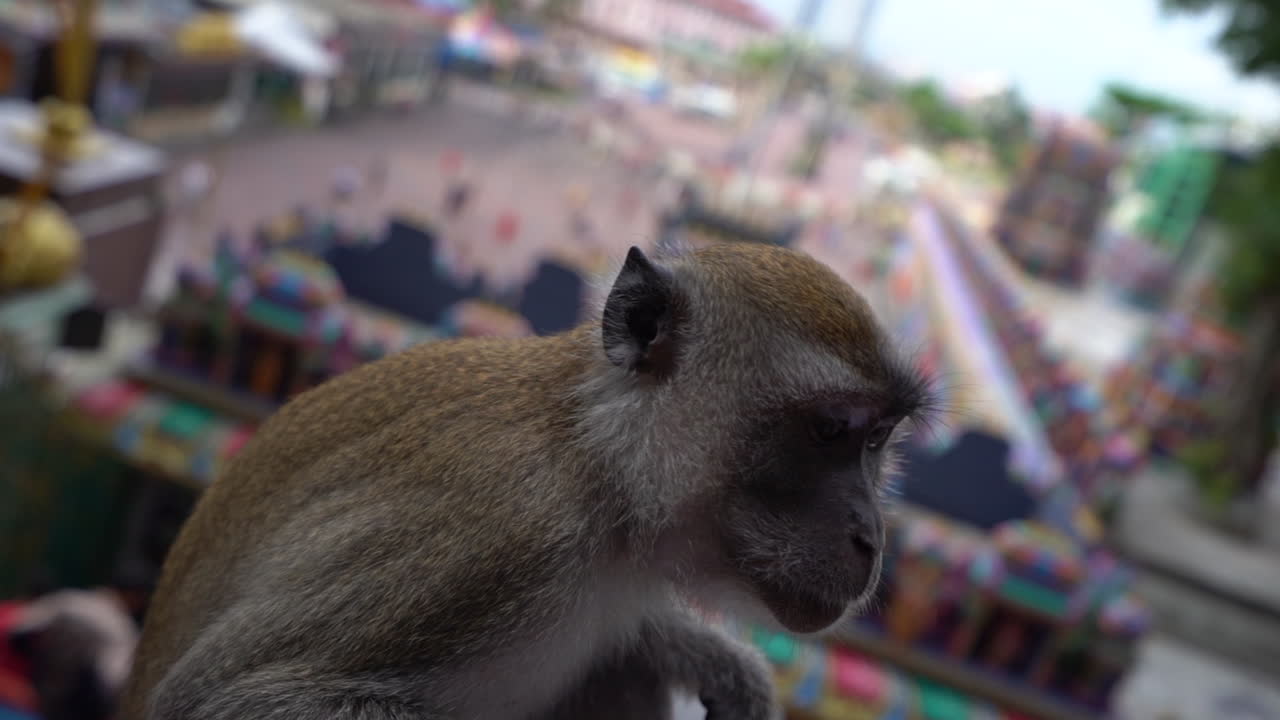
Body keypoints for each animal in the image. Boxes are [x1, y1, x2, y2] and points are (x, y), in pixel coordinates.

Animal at [121, 241, 935, 720]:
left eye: (878, 441)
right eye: (830, 430)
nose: (870, 537)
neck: (601, 469)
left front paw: (727, 670)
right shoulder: (498, 535)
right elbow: (226, 700)